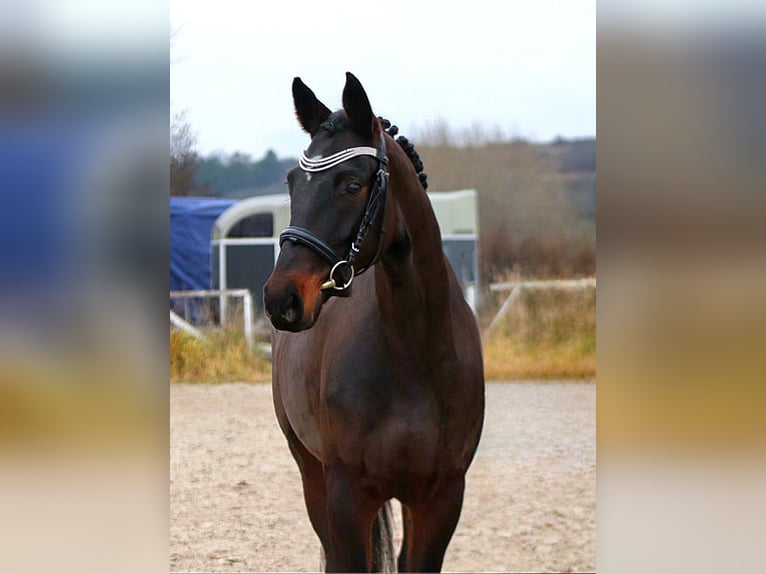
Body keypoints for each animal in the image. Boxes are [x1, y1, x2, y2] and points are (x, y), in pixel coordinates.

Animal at [263, 72, 485, 573]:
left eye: (350, 184)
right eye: (292, 182)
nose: (281, 298)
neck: (415, 355)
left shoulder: (442, 499)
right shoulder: (347, 496)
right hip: (310, 471)